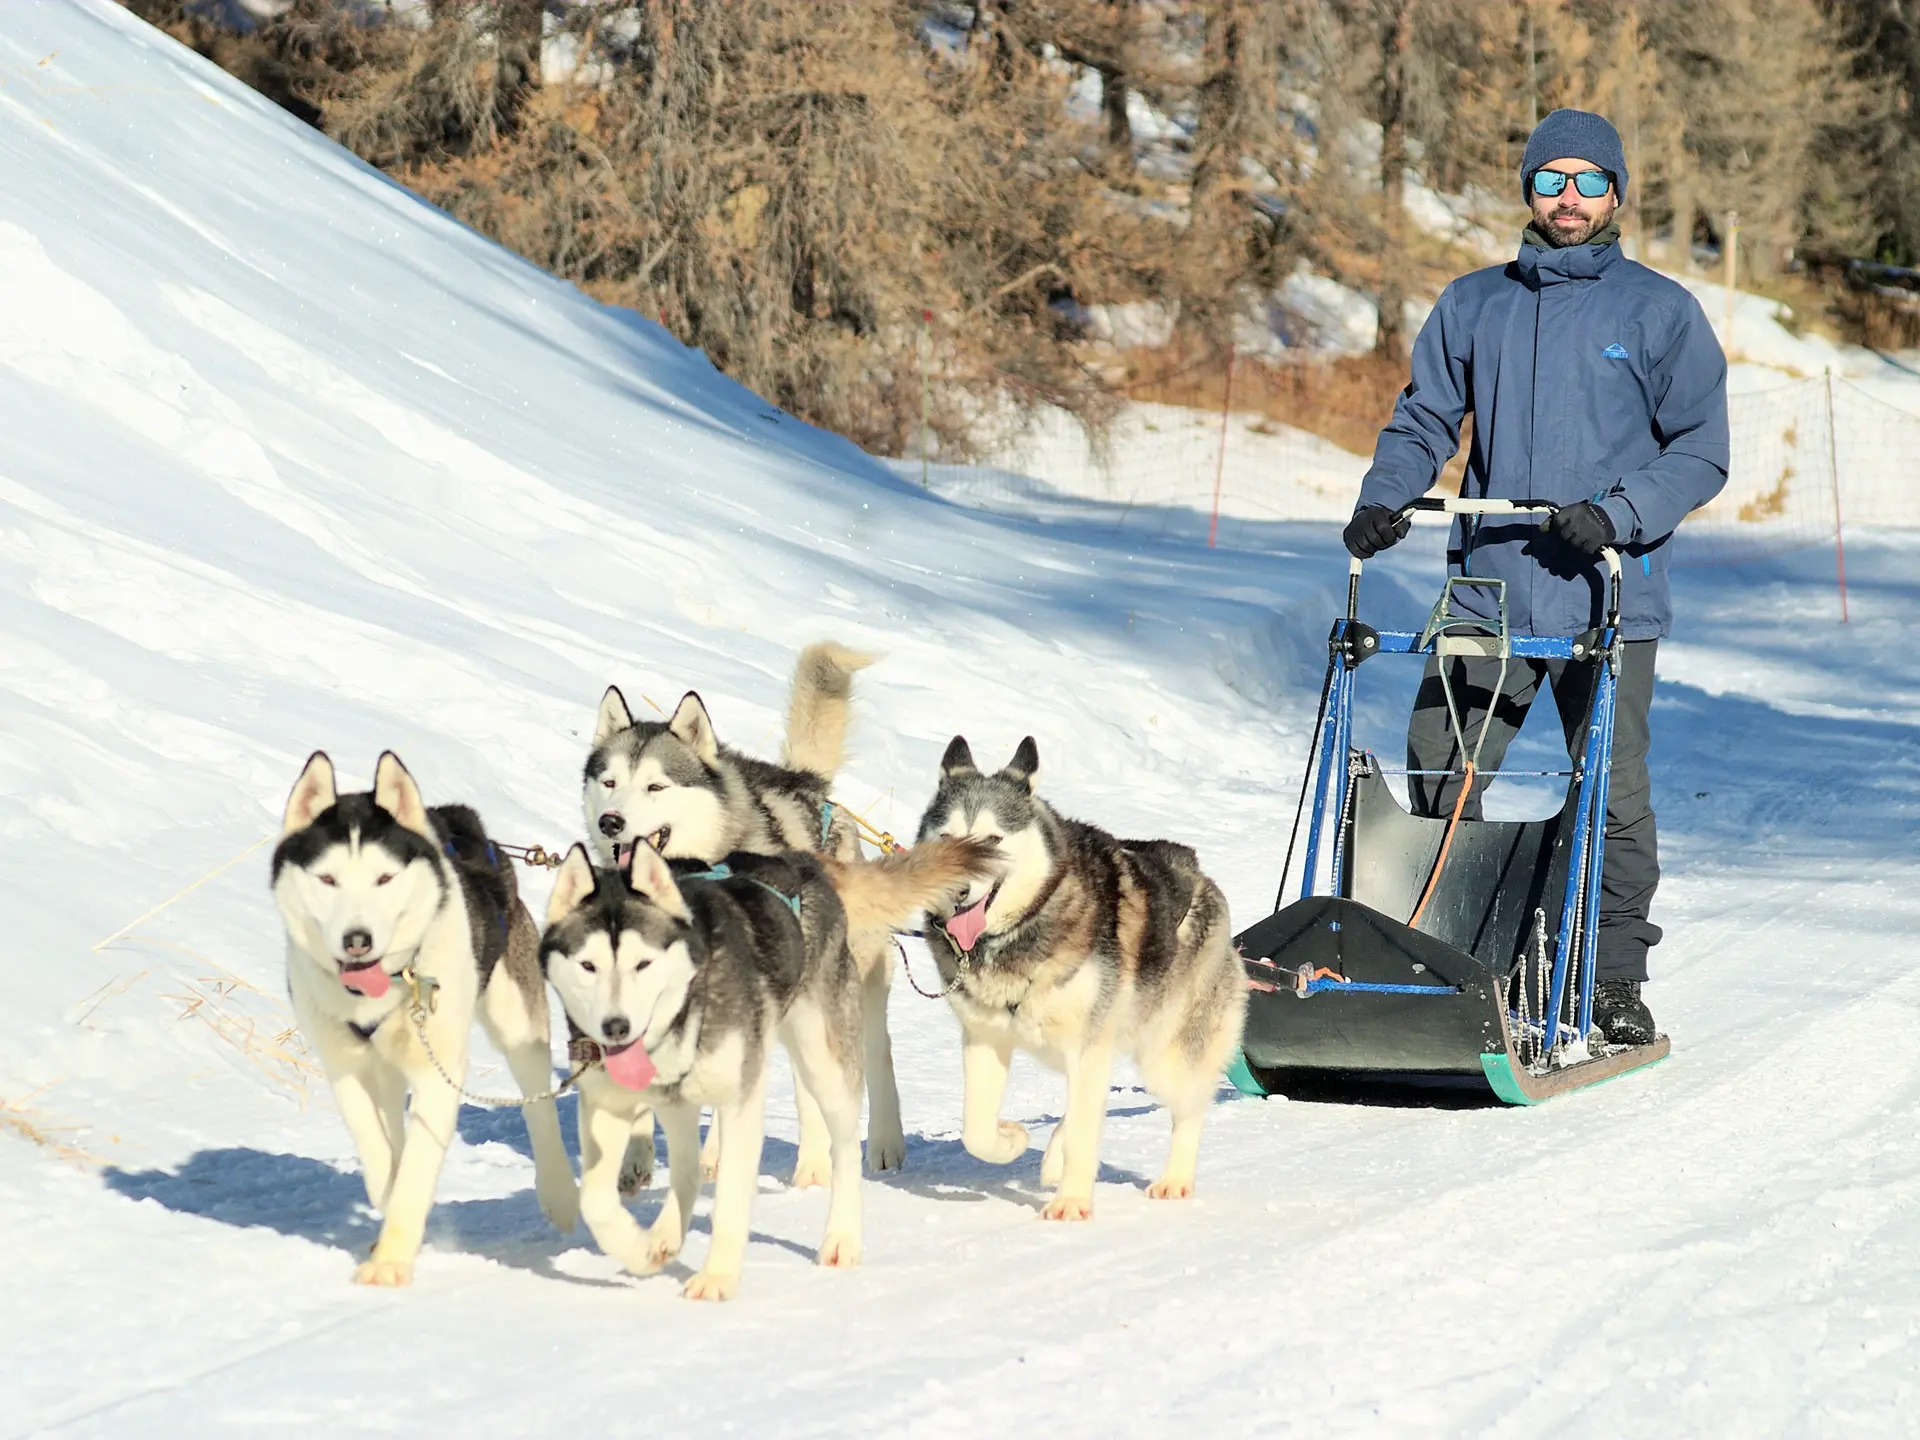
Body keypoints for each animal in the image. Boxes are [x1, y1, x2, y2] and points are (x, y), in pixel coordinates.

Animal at [274, 756, 576, 1282]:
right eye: (328, 880)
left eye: (384, 879)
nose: (357, 940)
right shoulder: (344, 1064)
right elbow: (375, 1144)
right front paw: (387, 1199)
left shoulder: (440, 1071)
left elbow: (417, 1166)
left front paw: (391, 1260)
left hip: (517, 1023)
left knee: (537, 1106)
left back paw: (559, 1194)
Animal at [537, 833, 990, 1297]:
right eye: (588, 965)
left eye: (643, 963)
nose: (616, 1027)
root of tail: (803, 861)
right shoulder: (606, 1106)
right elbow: (595, 1200)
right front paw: (639, 1248)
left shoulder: (741, 1101)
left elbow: (732, 1196)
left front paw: (717, 1278)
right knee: (686, 1169)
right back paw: (664, 1233)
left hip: (822, 1061)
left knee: (844, 1148)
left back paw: (841, 1239)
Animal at [583, 641, 913, 1182]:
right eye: (608, 782)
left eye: (656, 787)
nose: (612, 822)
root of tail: (807, 784)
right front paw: (636, 1158)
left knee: (864, 1057)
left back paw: (860, 1149)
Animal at [913, 737, 1244, 1221]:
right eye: (948, 838)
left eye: (992, 839)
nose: (957, 891)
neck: (1020, 932)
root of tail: (1197, 871)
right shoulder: (985, 1038)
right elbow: (976, 1130)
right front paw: (1012, 1140)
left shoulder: (1088, 1044)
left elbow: (1086, 1130)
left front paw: (1071, 1202)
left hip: (1166, 1054)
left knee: (1186, 1110)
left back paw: (1175, 1179)